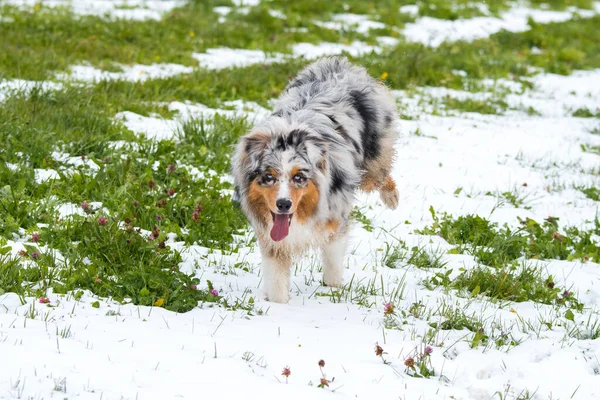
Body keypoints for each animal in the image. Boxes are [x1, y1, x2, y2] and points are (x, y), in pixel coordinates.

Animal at [233, 56, 398, 304]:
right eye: (268, 177)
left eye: (299, 177)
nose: (284, 204)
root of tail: (338, 65)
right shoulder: (271, 237)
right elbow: (277, 277)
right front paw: (279, 306)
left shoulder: (335, 216)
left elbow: (332, 257)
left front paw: (333, 289)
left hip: (373, 158)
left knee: (380, 173)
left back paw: (392, 197)